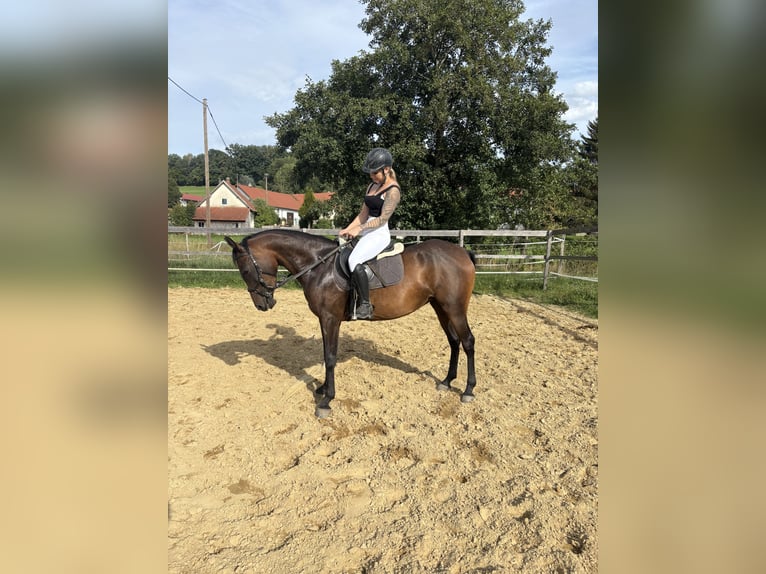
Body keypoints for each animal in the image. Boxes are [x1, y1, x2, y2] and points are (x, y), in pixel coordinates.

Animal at [224, 229, 477, 418]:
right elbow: (326, 354)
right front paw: (323, 389)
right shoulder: (324, 319)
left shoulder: (330, 319)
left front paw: (326, 401)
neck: (319, 266)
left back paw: (468, 390)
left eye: (245, 269)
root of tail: (462, 252)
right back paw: (446, 381)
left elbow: (330, 357)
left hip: (454, 309)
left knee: (467, 342)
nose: (262, 305)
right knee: (454, 341)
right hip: (440, 307)